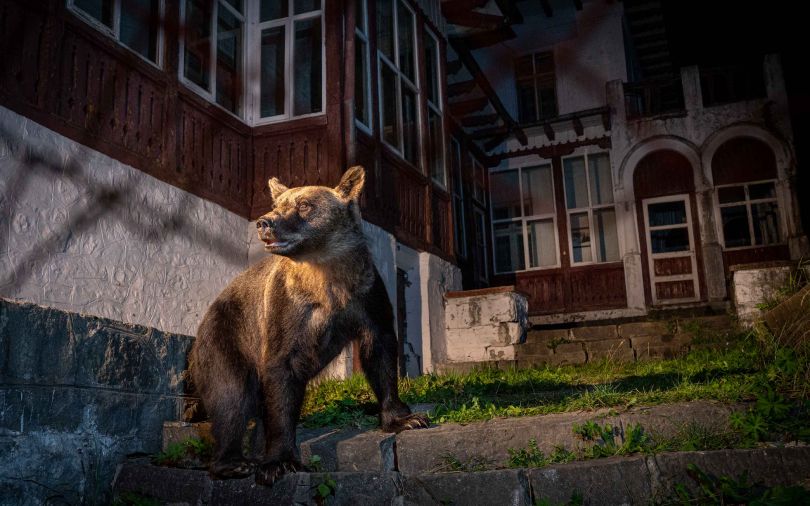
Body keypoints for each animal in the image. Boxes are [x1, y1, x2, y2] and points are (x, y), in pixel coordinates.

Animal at [190, 166, 430, 486]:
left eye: (304, 205)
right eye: (278, 204)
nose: (265, 222)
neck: (325, 273)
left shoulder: (365, 295)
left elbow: (380, 351)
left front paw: (406, 419)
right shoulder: (288, 309)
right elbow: (280, 372)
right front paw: (279, 461)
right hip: (226, 336)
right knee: (231, 394)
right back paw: (233, 463)